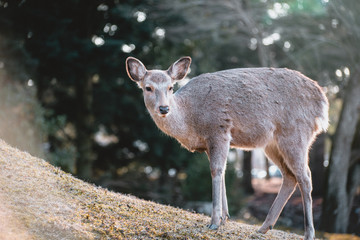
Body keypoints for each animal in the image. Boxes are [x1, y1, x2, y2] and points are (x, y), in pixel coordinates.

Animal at [125, 56, 328, 240]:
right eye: (148, 87)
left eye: (170, 87)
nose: (164, 108)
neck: (191, 120)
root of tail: (322, 102)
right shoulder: (210, 143)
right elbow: (222, 172)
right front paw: (224, 218)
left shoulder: (219, 129)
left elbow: (216, 170)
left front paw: (214, 221)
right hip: (272, 144)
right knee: (290, 176)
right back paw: (264, 227)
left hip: (295, 133)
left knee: (305, 177)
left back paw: (309, 233)